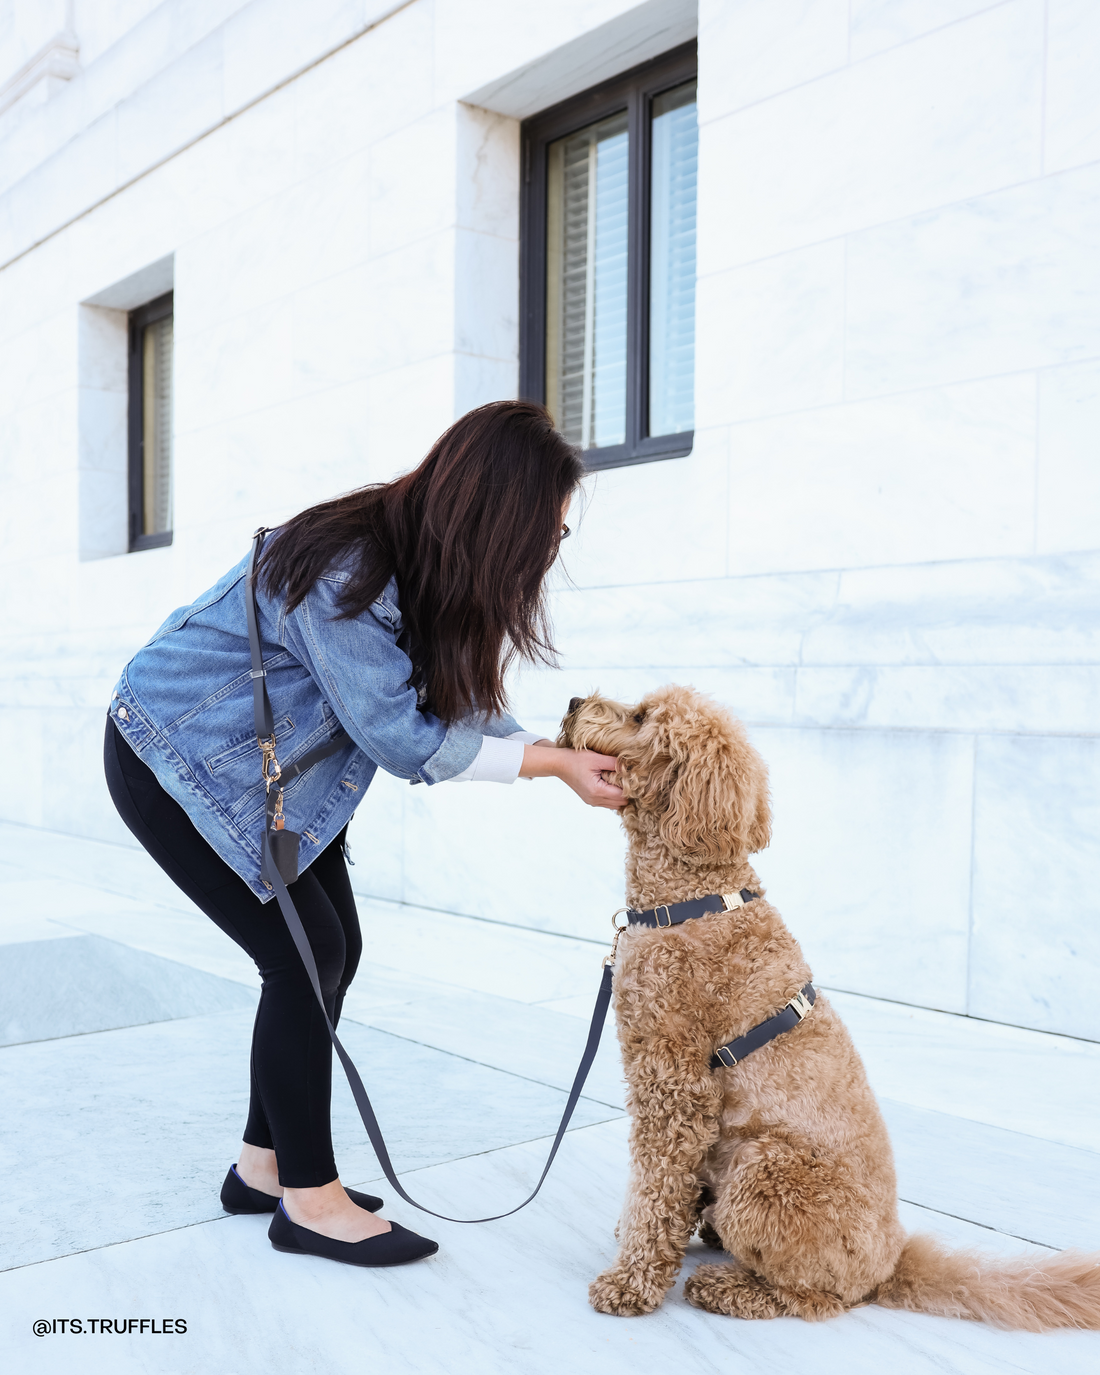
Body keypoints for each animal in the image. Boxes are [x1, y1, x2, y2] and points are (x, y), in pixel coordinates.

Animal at [558, 687, 1100, 1331]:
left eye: (640, 717)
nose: (573, 700)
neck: (691, 895)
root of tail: (890, 1261)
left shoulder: (674, 1084)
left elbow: (655, 1187)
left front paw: (631, 1281)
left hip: (762, 1169)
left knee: (818, 1298)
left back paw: (728, 1287)